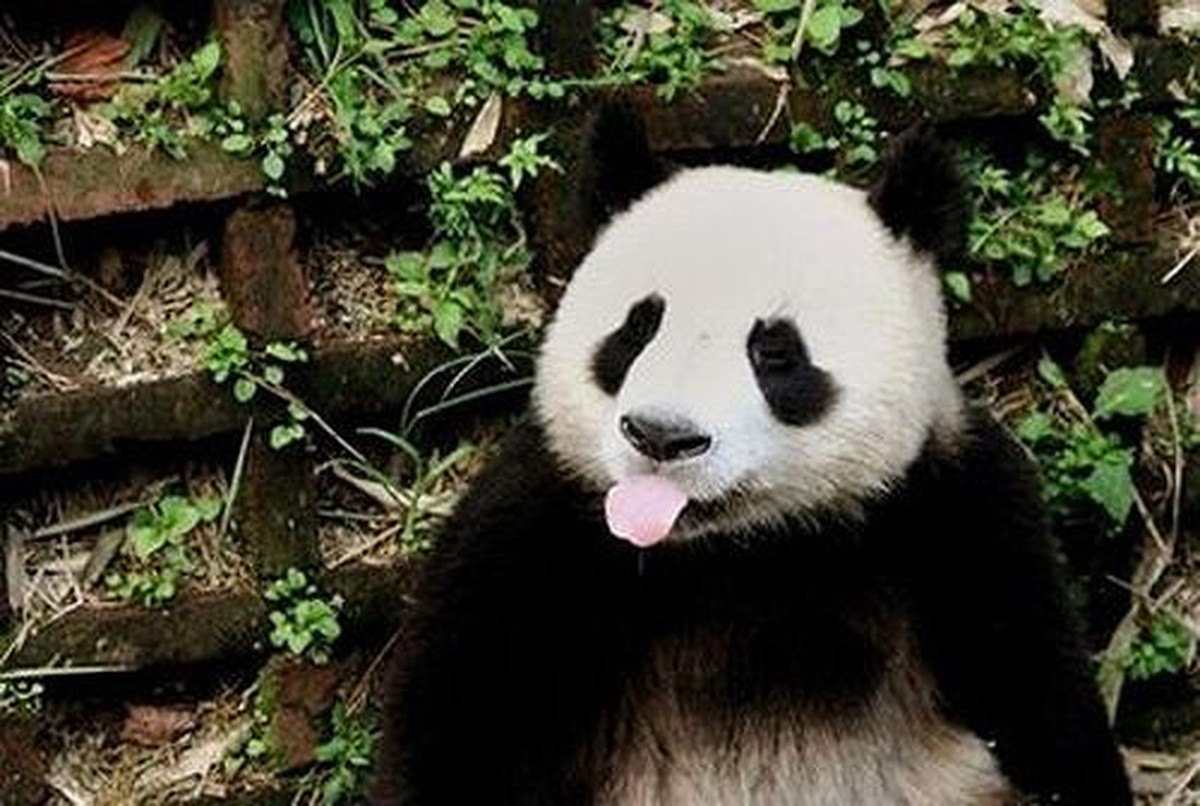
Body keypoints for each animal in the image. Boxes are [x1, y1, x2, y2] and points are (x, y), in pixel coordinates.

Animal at [374, 105, 1132, 805]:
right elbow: (457, 727)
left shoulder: (959, 519)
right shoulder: (535, 534)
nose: (661, 435)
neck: (736, 555)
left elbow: (1046, 713)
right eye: (638, 327)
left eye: (775, 351)